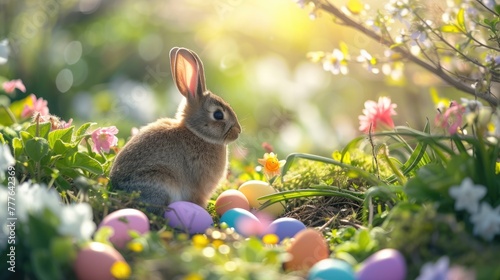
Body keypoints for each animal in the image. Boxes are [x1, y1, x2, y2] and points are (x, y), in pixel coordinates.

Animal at [110, 47, 242, 213]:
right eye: (218, 114)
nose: (238, 131)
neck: (197, 133)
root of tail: (117, 189)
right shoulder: (199, 189)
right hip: (162, 181)